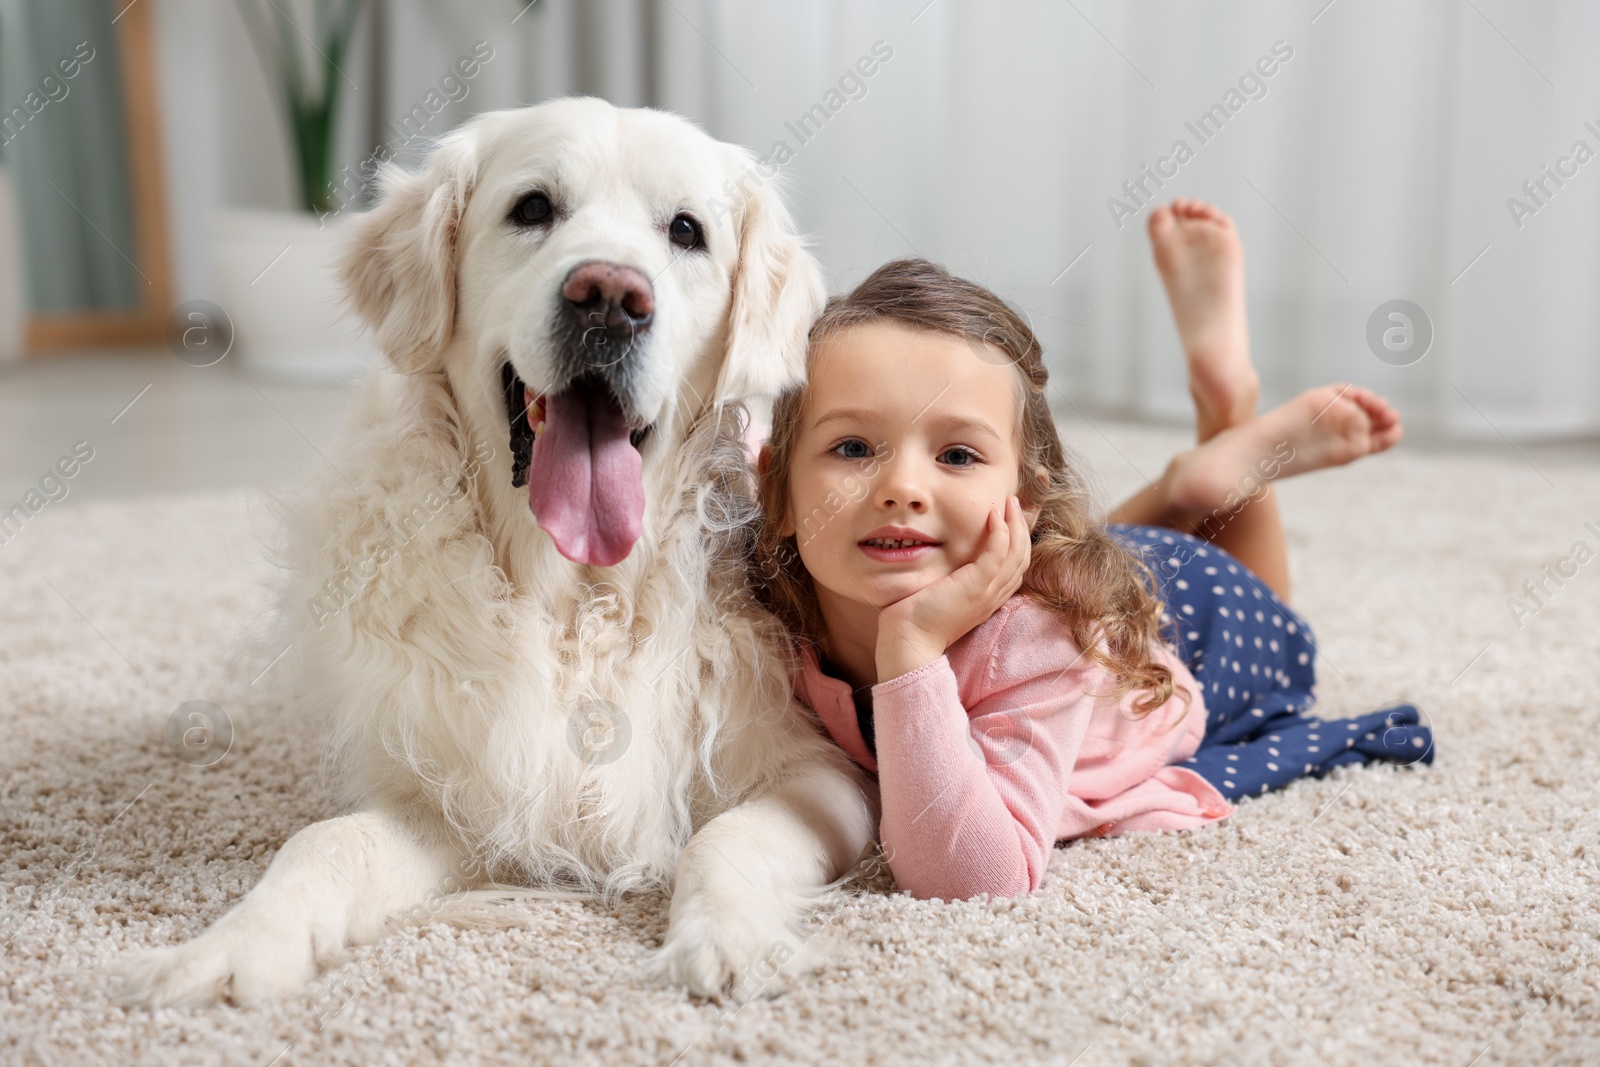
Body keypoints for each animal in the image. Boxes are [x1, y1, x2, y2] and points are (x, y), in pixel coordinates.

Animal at [120, 95, 883, 1004]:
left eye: (686, 230)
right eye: (533, 209)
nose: (609, 298)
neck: (576, 597)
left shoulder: (817, 774)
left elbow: (723, 838)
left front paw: (727, 938)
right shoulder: (451, 784)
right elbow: (321, 843)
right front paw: (235, 944)